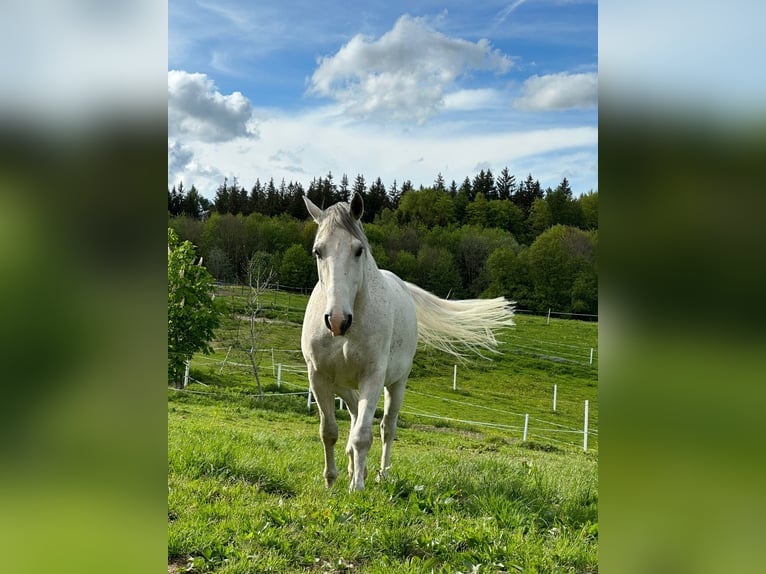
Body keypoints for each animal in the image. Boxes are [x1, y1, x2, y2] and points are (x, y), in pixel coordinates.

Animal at [302, 196, 516, 492]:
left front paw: (357, 488)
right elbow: (329, 431)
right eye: (318, 251)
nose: (337, 320)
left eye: (358, 250)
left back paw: (381, 474)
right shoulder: (318, 376)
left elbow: (363, 435)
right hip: (342, 384)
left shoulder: (373, 376)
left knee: (386, 427)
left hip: (396, 383)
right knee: (355, 410)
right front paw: (331, 482)